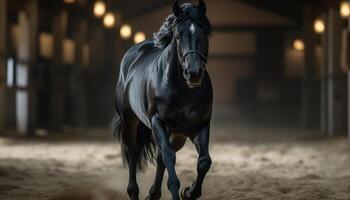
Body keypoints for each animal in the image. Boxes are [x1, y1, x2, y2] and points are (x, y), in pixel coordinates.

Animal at [111, 0, 213, 199]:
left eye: (204, 33)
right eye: (178, 36)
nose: (194, 73)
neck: (183, 90)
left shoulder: (200, 125)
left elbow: (204, 161)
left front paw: (189, 192)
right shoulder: (159, 122)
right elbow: (169, 158)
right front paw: (179, 190)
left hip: (178, 135)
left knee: (160, 157)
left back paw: (153, 194)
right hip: (130, 121)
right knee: (133, 153)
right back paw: (134, 191)